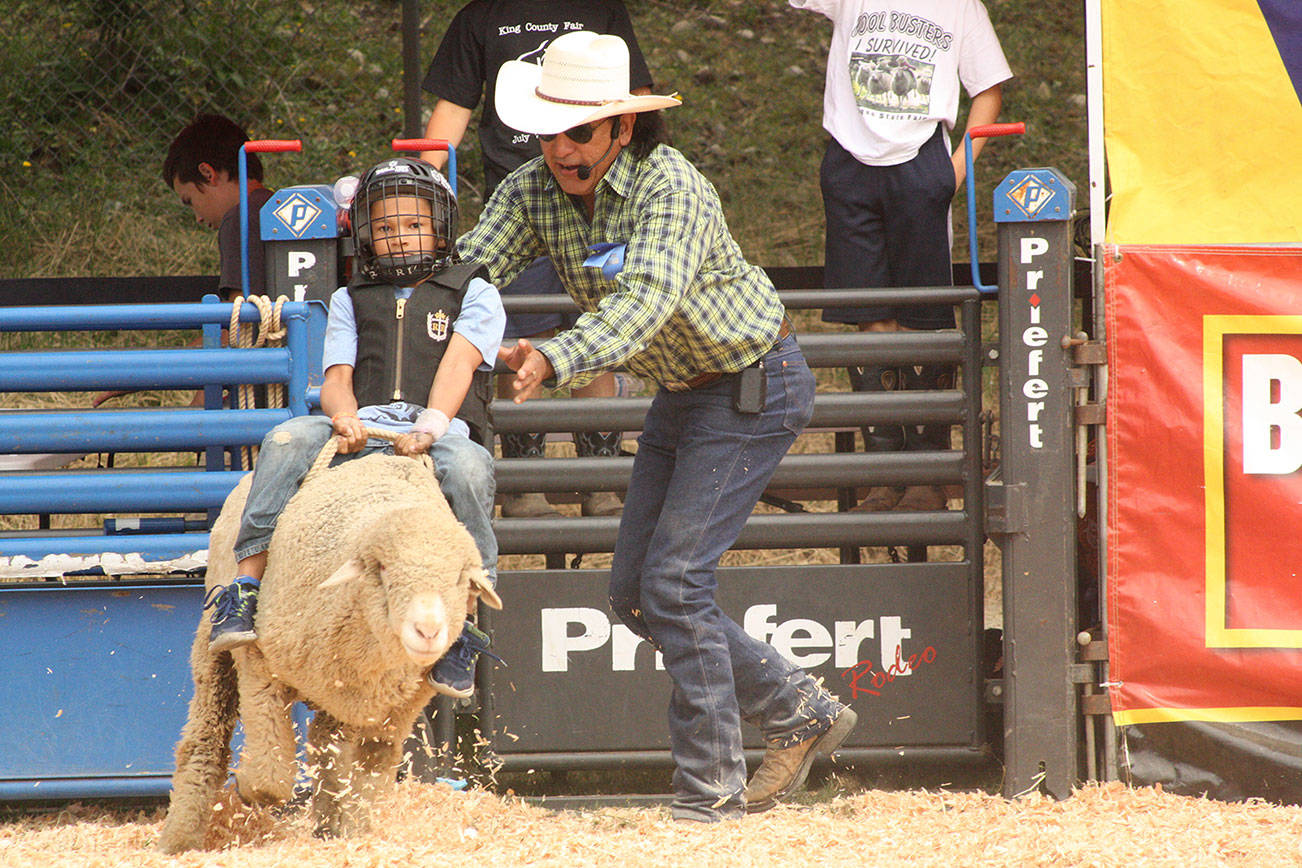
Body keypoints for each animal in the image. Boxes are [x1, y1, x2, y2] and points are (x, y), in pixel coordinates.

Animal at [153, 447, 497, 853]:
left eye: (461, 579)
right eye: (381, 570)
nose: (428, 631)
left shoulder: (396, 709)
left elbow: (372, 769)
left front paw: (359, 830)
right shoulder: (260, 665)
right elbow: (270, 772)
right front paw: (251, 788)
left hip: (339, 697)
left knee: (324, 745)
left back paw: (329, 824)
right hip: (215, 645)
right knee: (205, 739)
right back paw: (179, 839)